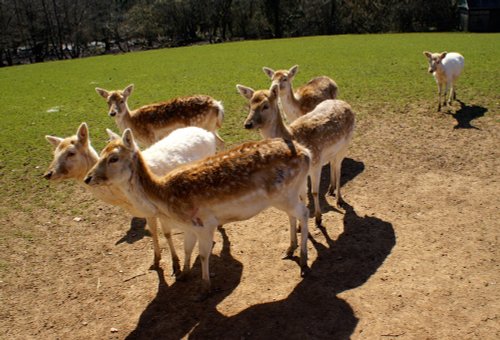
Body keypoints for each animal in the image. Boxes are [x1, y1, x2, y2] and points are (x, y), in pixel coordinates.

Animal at [46, 123, 218, 276]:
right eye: (54, 153)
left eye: (71, 153)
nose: (48, 173)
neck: (126, 198)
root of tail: (207, 132)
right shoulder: (148, 212)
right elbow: (154, 232)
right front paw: (156, 261)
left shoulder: (163, 209)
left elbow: (167, 233)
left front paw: (176, 265)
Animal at [85, 129, 312, 298]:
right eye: (100, 152)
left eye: (113, 158)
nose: (88, 178)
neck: (165, 199)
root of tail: (306, 152)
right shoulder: (189, 227)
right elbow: (187, 249)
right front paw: (183, 274)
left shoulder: (205, 224)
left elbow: (203, 254)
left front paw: (205, 288)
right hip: (287, 195)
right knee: (293, 215)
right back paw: (290, 249)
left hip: (285, 194)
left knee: (304, 212)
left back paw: (303, 261)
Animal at [94, 84, 227, 147]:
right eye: (108, 102)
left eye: (122, 100)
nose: (112, 113)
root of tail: (217, 105)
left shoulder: (151, 138)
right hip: (212, 127)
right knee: (222, 142)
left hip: (203, 126)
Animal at [237, 83, 356, 226]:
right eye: (250, 105)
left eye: (265, 105)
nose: (247, 124)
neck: (293, 135)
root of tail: (345, 103)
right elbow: (302, 197)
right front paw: (300, 225)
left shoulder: (316, 163)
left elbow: (314, 192)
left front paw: (318, 218)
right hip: (333, 150)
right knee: (333, 164)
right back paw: (330, 190)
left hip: (346, 143)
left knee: (338, 169)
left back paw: (339, 199)